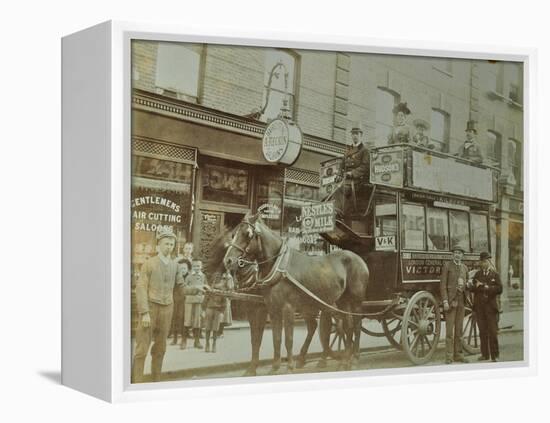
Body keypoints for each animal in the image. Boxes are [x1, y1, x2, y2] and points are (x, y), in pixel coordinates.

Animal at [222, 214, 368, 372]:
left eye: (247, 234)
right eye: (233, 234)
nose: (228, 260)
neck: (279, 267)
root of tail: (359, 259)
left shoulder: (287, 307)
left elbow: (288, 339)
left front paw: (289, 367)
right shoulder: (273, 308)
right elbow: (276, 337)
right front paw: (275, 367)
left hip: (354, 301)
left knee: (355, 325)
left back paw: (354, 358)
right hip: (339, 301)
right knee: (346, 325)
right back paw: (344, 360)